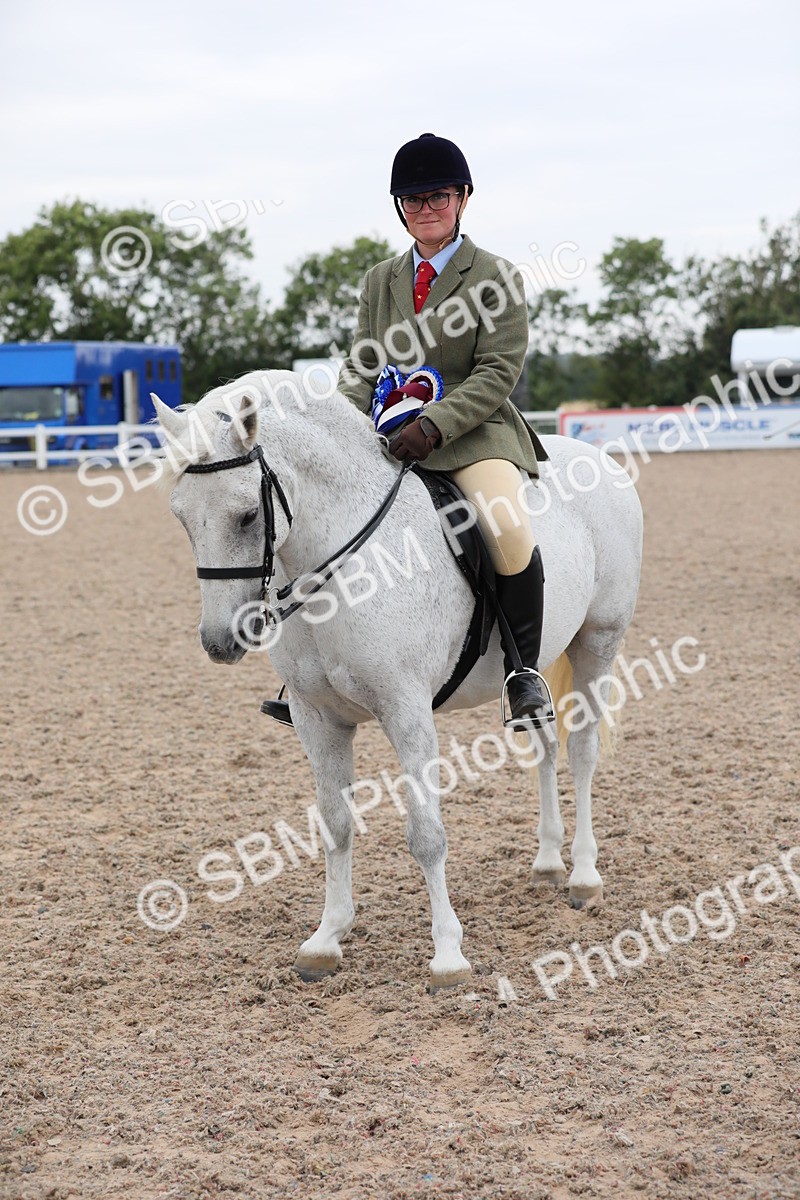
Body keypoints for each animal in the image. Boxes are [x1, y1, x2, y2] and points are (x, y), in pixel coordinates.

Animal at [154, 370, 643, 991]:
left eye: (245, 515)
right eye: (180, 515)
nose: (221, 641)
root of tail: (596, 458)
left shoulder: (407, 713)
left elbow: (426, 835)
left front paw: (449, 956)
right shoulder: (317, 721)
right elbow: (336, 824)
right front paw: (326, 939)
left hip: (597, 645)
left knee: (581, 751)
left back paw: (583, 875)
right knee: (547, 746)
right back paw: (549, 864)